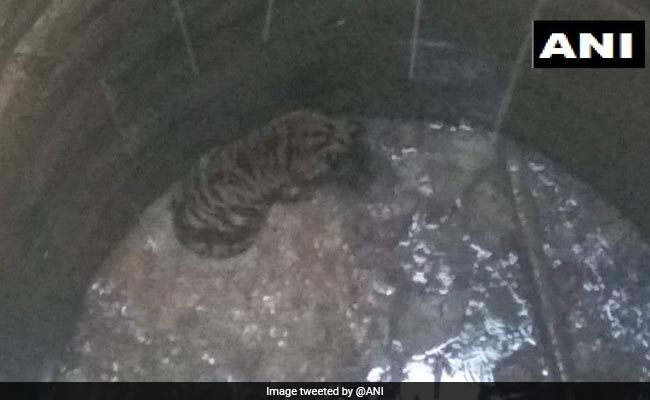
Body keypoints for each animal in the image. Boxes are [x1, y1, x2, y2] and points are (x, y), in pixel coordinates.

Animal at [171, 110, 362, 259]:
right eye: (345, 160)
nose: (354, 162)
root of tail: (179, 219)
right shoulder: (288, 186)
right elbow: (297, 192)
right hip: (247, 217)